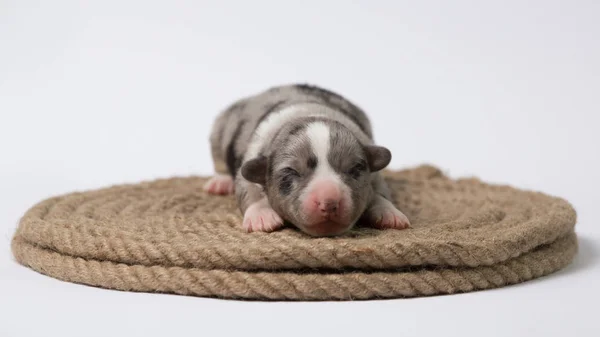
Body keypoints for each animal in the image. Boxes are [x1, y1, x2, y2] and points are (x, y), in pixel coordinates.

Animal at [204, 83, 410, 236]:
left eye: (355, 169)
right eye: (292, 172)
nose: (329, 202)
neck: (308, 113)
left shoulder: (373, 169)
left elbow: (380, 191)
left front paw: (390, 214)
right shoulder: (253, 157)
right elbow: (248, 188)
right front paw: (261, 217)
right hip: (219, 129)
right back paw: (220, 183)